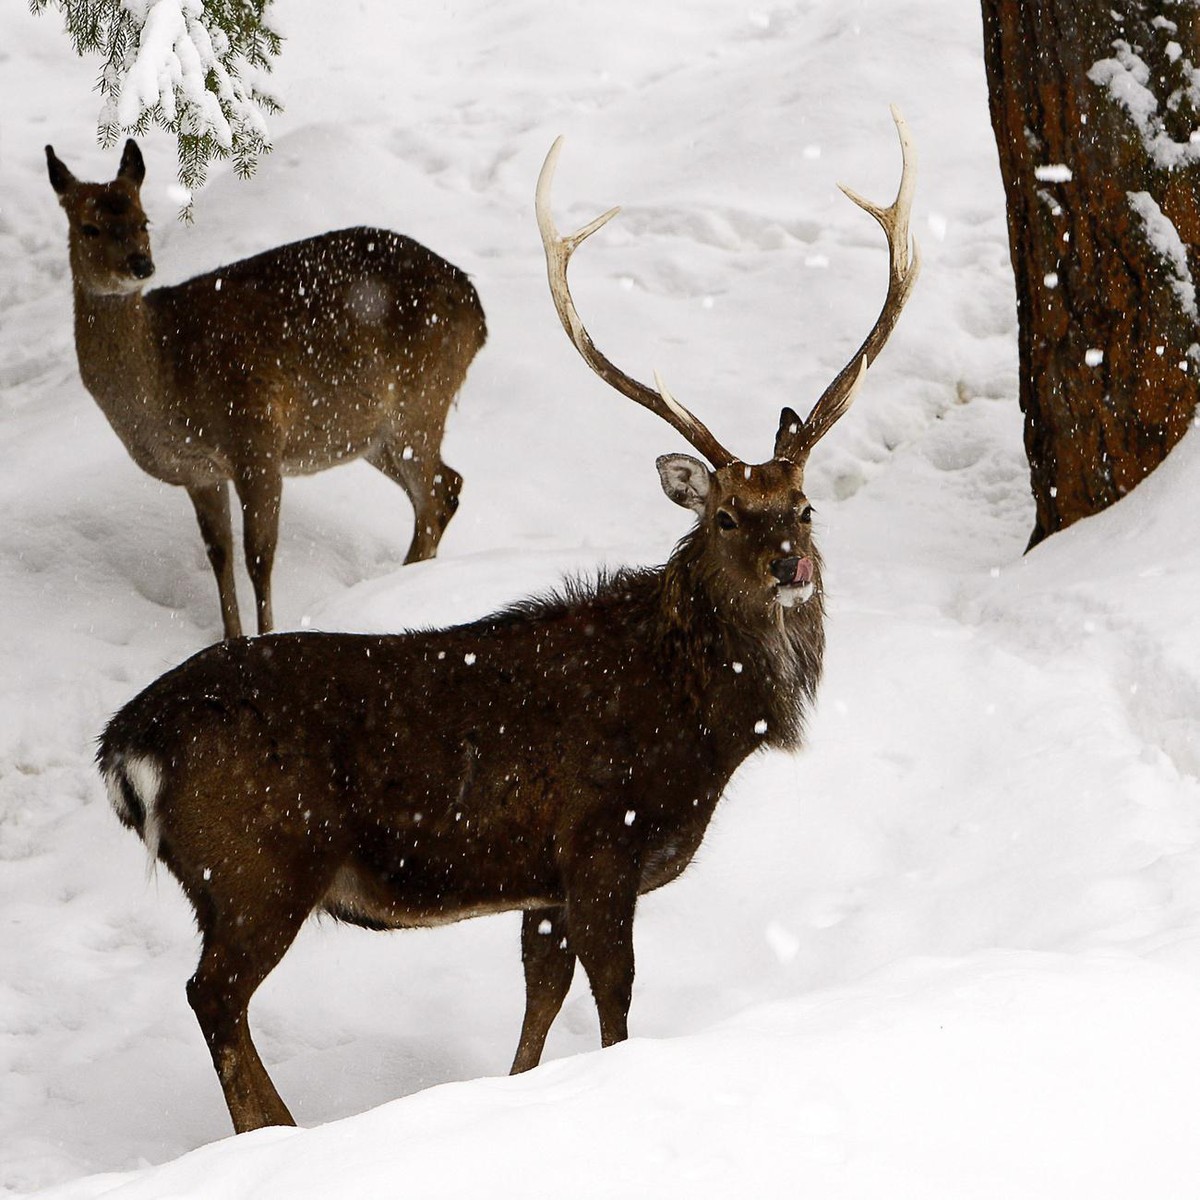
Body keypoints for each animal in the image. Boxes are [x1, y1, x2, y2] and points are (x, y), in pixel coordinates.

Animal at [47, 139, 487, 640]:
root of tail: (478, 311)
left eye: (143, 220)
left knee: (434, 496)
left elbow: (259, 554)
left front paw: (266, 636)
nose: (141, 265)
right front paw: (230, 637)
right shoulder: (200, 472)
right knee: (444, 488)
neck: (167, 374)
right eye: (89, 227)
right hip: (369, 433)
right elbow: (219, 554)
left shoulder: (256, 438)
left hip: (421, 398)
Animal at [96, 109, 918, 1135]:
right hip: (256, 864)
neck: (701, 724)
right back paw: (278, 1132)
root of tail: (123, 748)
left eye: (803, 508)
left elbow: (536, 1009)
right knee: (212, 996)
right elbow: (613, 1008)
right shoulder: (600, 841)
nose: (789, 565)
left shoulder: (544, 883)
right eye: (727, 515)